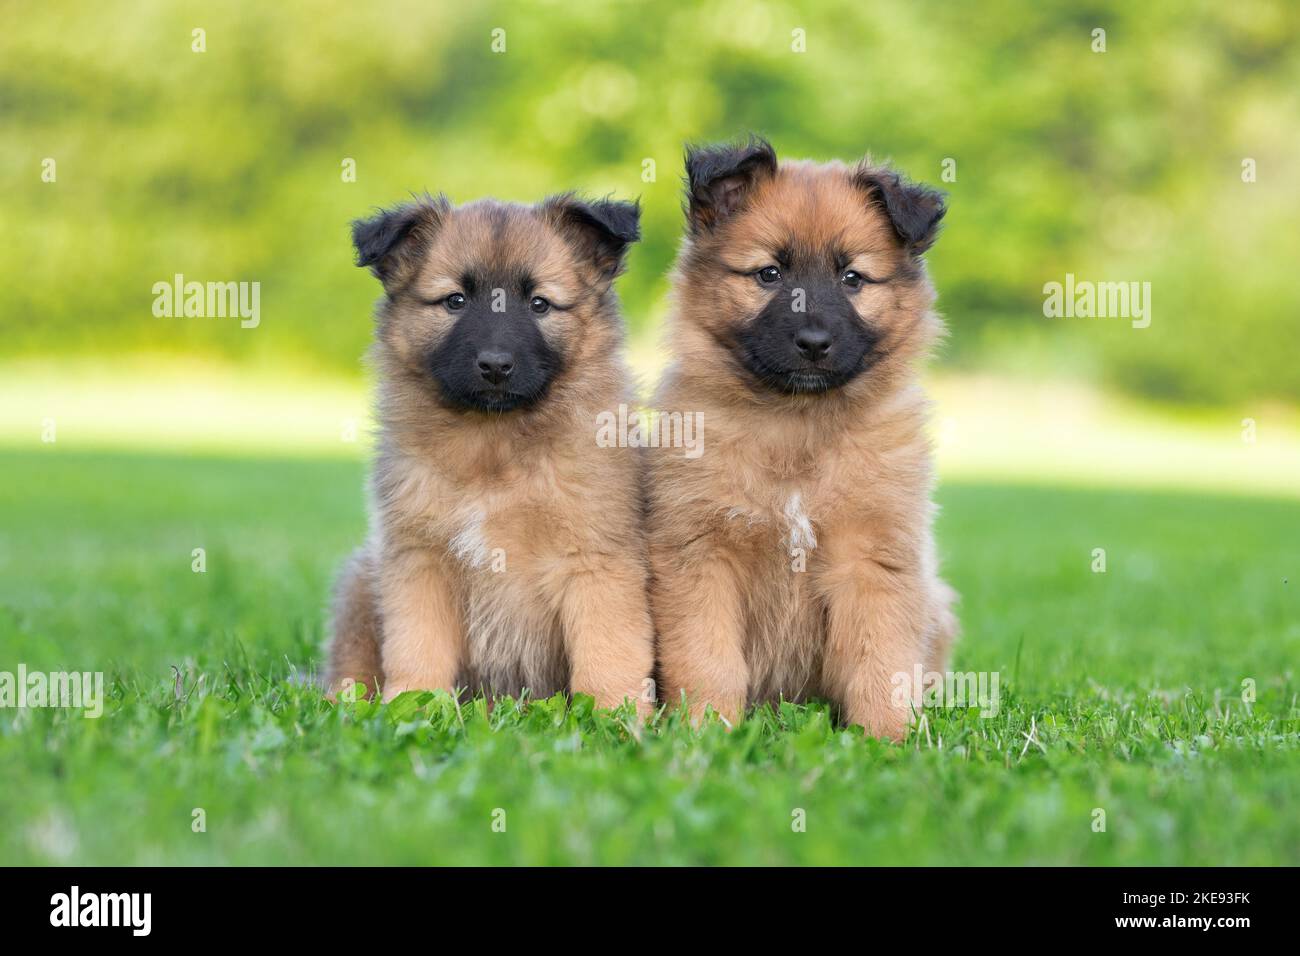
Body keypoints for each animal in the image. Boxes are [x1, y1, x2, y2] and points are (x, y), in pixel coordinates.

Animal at [323, 191, 650, 712]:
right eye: (455, 301)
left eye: (539, 304)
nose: (496, 366)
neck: (493, 448)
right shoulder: (419, 561)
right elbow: (417, 649)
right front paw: (412, 707)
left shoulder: (596, 562)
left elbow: (608, 653)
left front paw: (614, 717)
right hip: (362, 580)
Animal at [647, 136, 956, 738]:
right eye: (769, 274)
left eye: (852, 278)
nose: (813, 342)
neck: (798, 425)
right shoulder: (700, 555)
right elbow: (707, 659)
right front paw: (706, 732)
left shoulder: (874, 561)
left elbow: (881, 663)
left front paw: (888, 739)